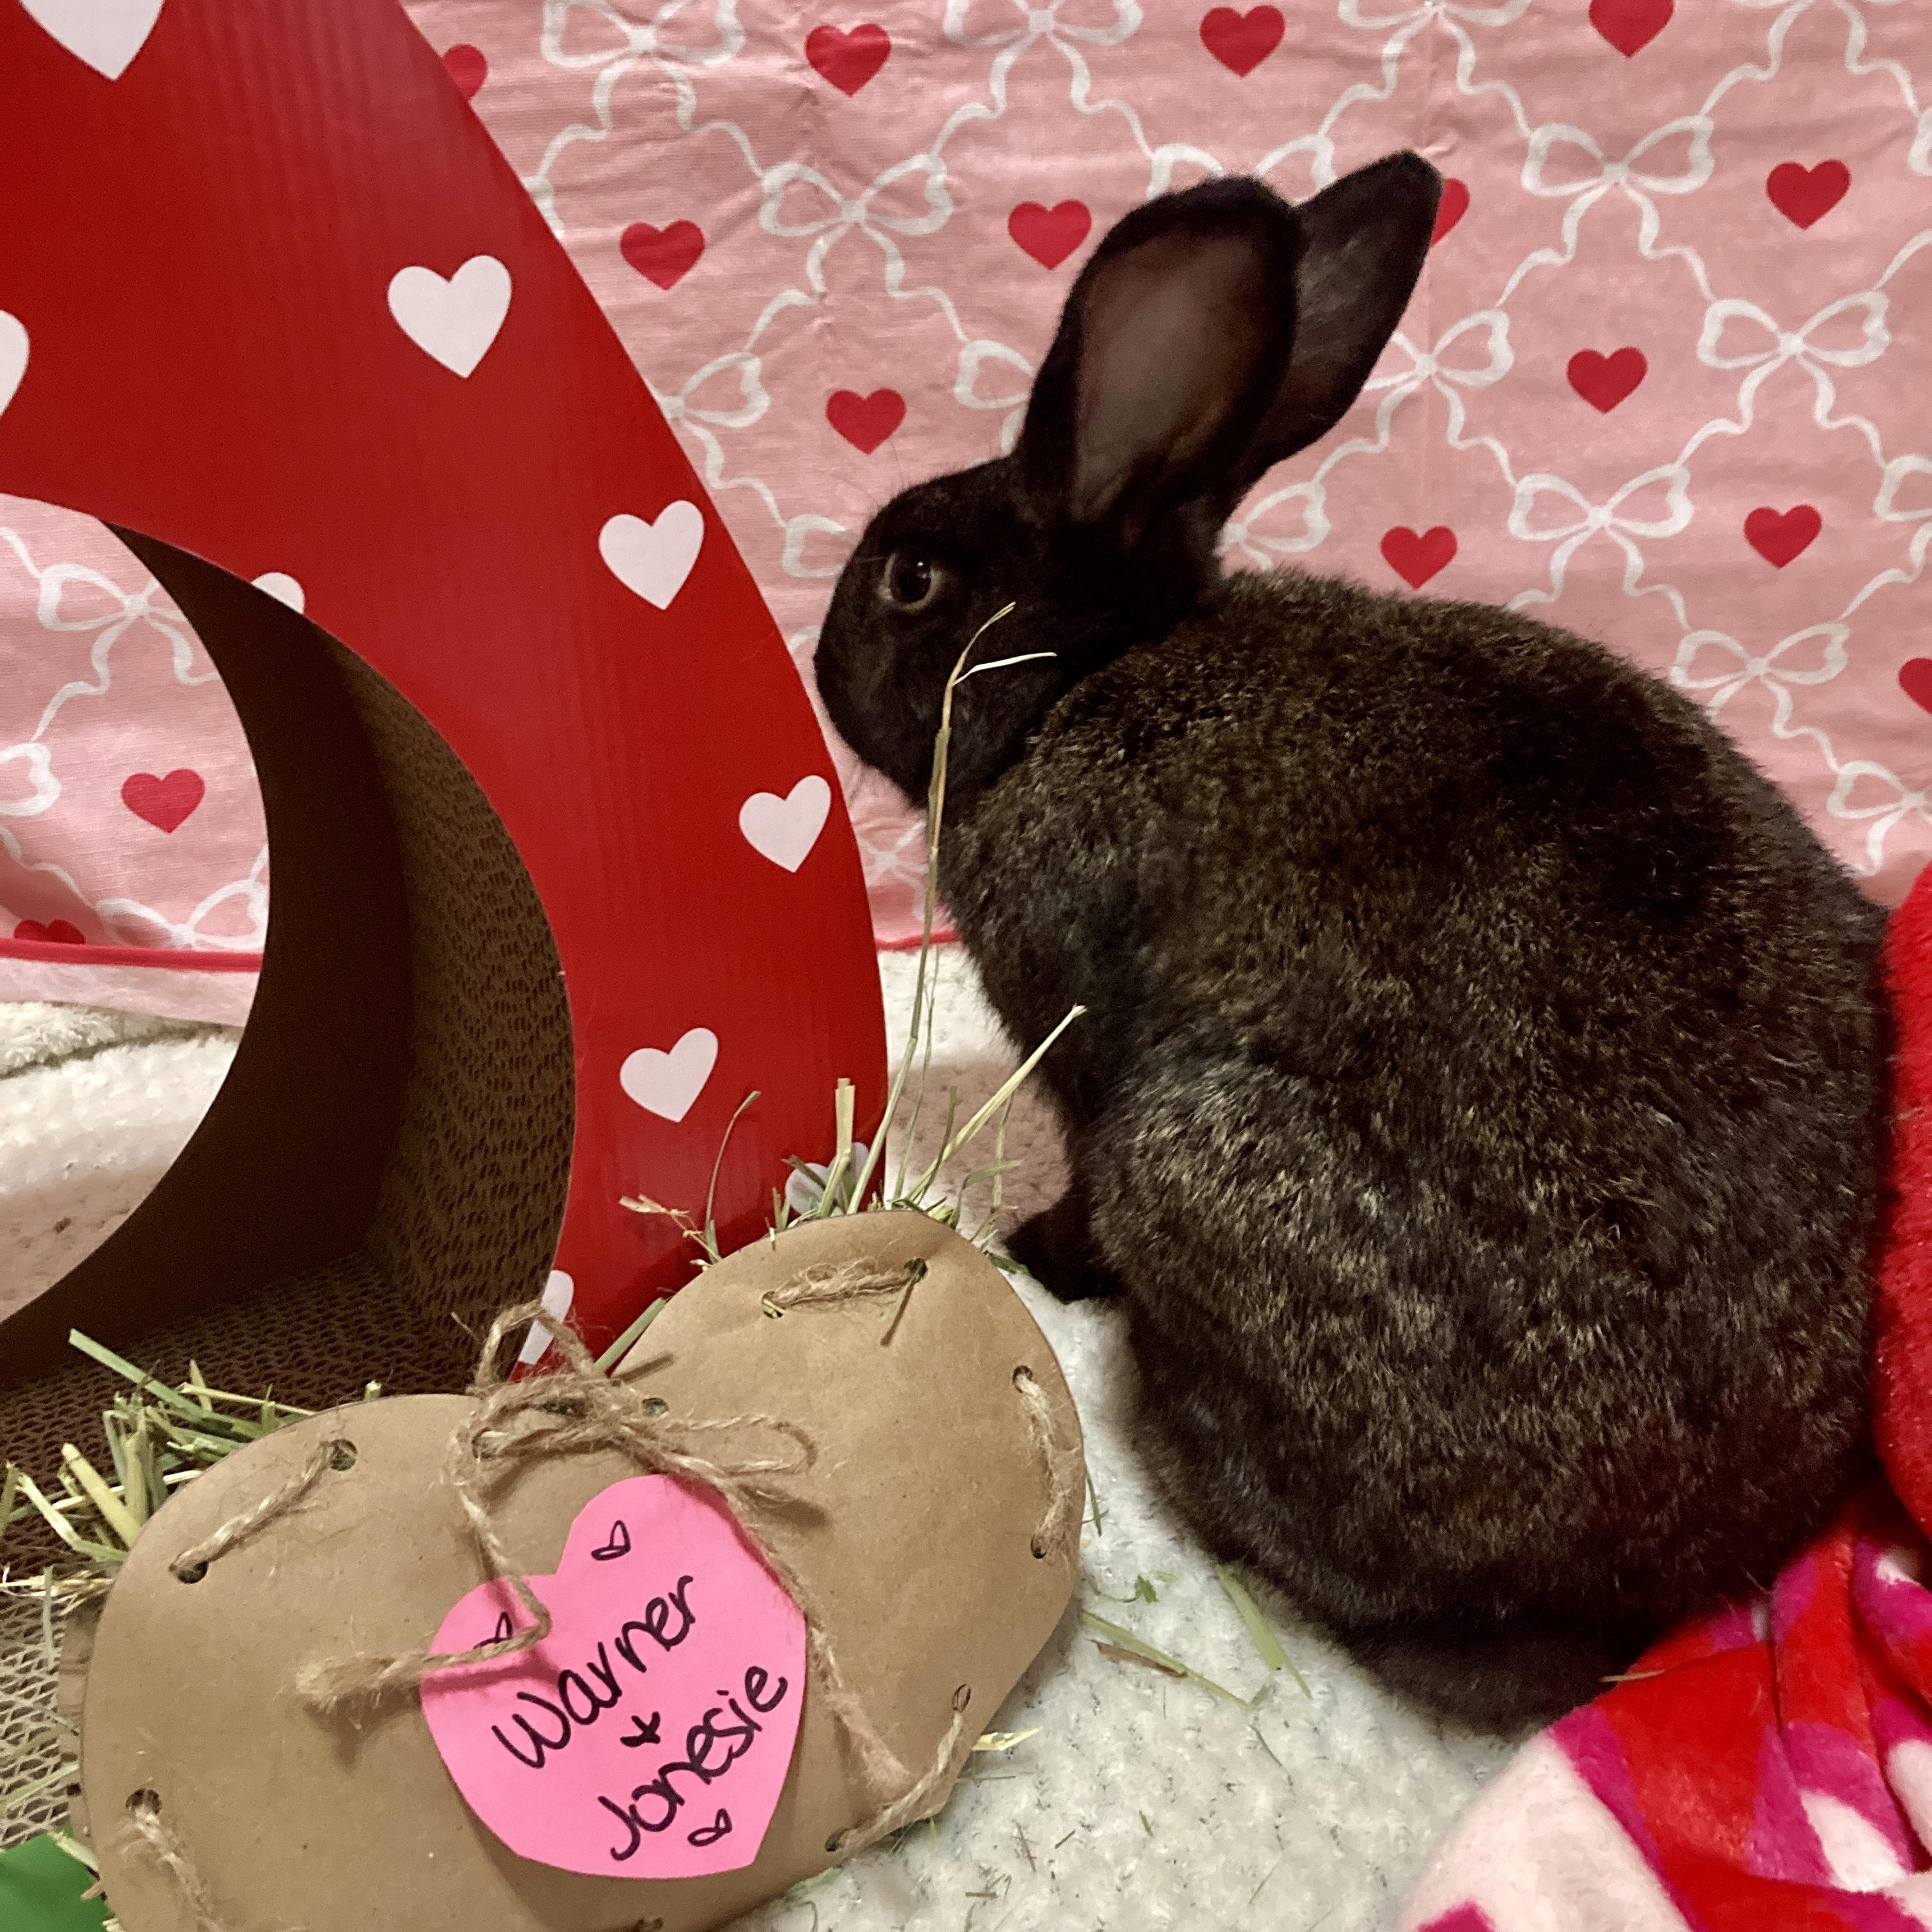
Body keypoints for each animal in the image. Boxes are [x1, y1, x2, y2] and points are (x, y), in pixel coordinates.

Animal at [813, 152, 1890, 1729]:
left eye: (910, 581)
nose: (820, 650)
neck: (1083, 681)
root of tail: (1664, 1569)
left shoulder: (1077, 1046)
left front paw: (1033, 1252)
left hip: (1190, 1158)